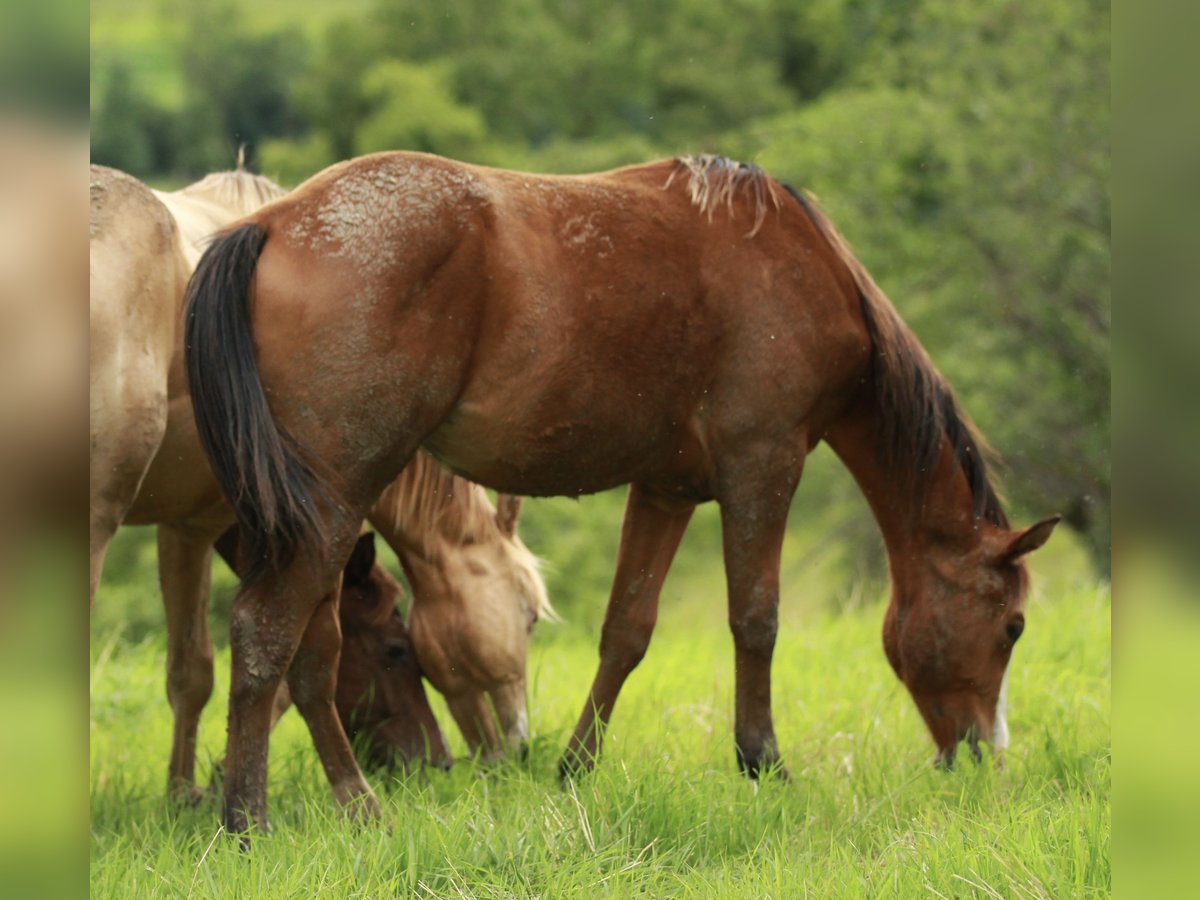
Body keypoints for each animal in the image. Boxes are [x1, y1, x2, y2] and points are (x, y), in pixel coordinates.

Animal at [184, 151, 1060, 835]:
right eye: (1012, 626)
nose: (983, 755)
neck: (806, 270)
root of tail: (272, 225)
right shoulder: (763, 465)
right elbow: (756, 619)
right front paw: (764, 764)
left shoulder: (665, 488)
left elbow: (627, 631)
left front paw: (575, 768)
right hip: (334, 500)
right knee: (268, 634)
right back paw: (248, 819)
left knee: (307, 652)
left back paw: (346, 805)